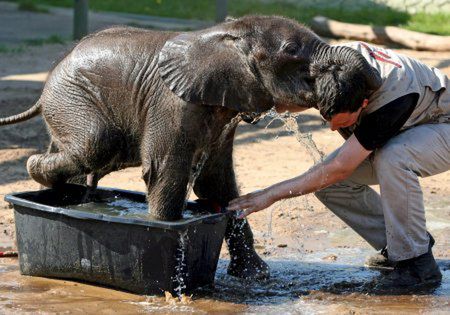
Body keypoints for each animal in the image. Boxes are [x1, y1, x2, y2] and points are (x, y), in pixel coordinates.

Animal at [1, 16, 378, 280]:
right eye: (290, 50)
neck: (225, 35)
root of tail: (48, 82)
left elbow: (216, 183)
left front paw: (257, 276)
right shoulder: (171, 103)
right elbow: (165, 172)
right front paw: (166, 238)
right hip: (72, 98)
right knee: (96, 142)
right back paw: (36, 168)